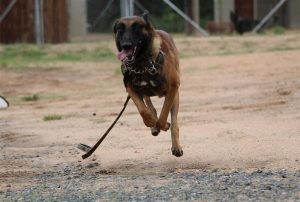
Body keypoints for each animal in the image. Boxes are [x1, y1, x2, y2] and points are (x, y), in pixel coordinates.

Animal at [113, 11, 182, 157]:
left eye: (137, 28)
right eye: (120, 29)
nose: (126, 45)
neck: (142, 64)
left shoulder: (172, 88)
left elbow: (163, 116)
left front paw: (162, 125)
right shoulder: (130, 89)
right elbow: (143, 110)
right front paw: (150, 122)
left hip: (176, 95)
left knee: (174, 122)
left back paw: (176, 146)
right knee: (149, 105)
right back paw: (153, 124)